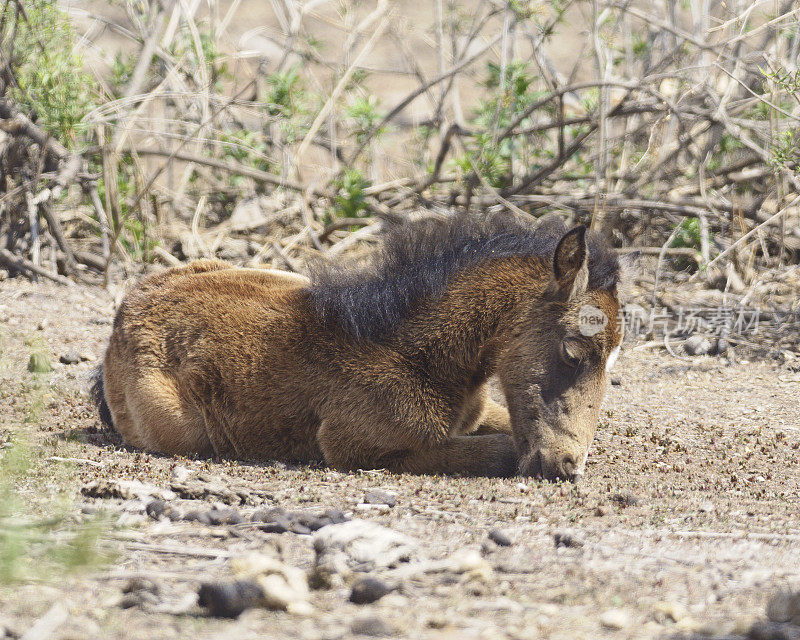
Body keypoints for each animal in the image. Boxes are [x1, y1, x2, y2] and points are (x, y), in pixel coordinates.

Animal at [94, 215, 628, 480]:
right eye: (572, 352)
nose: (565, 466)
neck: (416, 354)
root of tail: (126, 313)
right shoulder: (355, 447)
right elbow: (503, 452)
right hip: (180, 430)